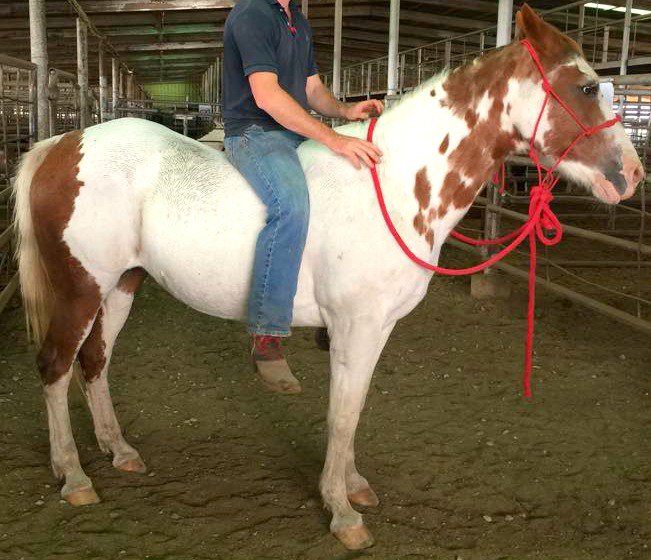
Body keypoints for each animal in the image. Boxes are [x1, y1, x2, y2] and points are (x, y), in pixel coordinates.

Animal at [12, 5, 644, 550]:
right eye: (587, 87)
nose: (633, 175)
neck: (393, 183)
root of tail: (62, 143)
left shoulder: (377, 329)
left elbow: (355, 408)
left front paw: (354, 486)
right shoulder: (354, 328)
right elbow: (342, 414)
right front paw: (341, 512)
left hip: (122, 285)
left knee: (96, 363)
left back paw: (118, 451)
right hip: (79, 289)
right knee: (56, 367)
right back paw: (73, 477)